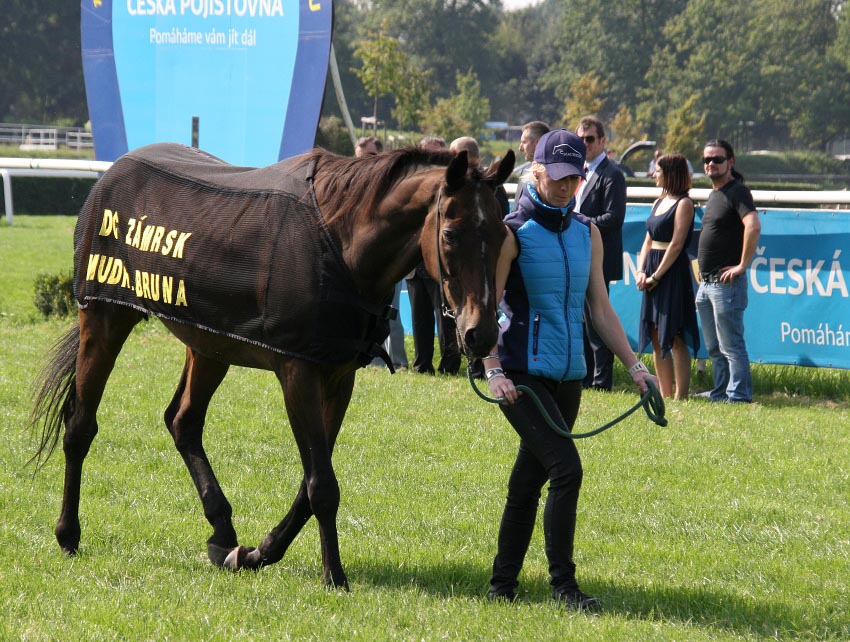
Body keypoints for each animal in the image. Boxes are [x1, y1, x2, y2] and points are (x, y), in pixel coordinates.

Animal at [29, 142, 512, 588]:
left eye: (503, 235)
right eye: (450, 233)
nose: (481, 333)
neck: (339, 244)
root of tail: (113, 172)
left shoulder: (338, 377)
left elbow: (311, 482)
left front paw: (259, 552)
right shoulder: (298, 372)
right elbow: (322, 484)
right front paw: (334, 575)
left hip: (208, 342)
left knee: (183, 421)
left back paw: (223, 532)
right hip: (105, 315)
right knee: (80, 425)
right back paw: (68, 533)